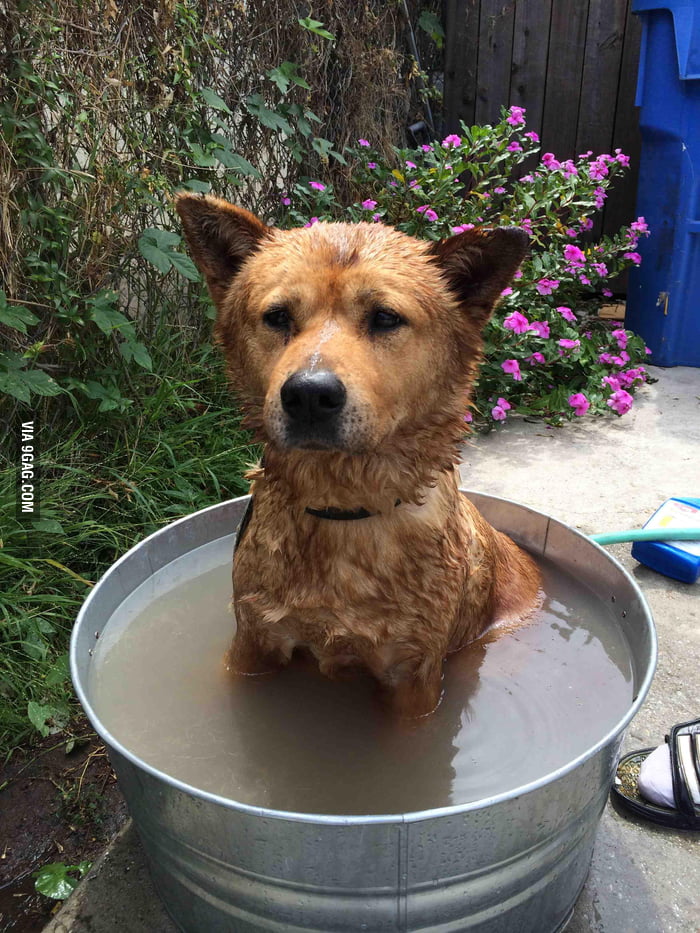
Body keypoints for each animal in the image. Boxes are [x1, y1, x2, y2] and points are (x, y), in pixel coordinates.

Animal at [175, 197, 540, 716]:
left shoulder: (413, 679)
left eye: (385, 318)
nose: (309, 394)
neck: (343, 512)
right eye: (278, 316)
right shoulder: (253, 642)